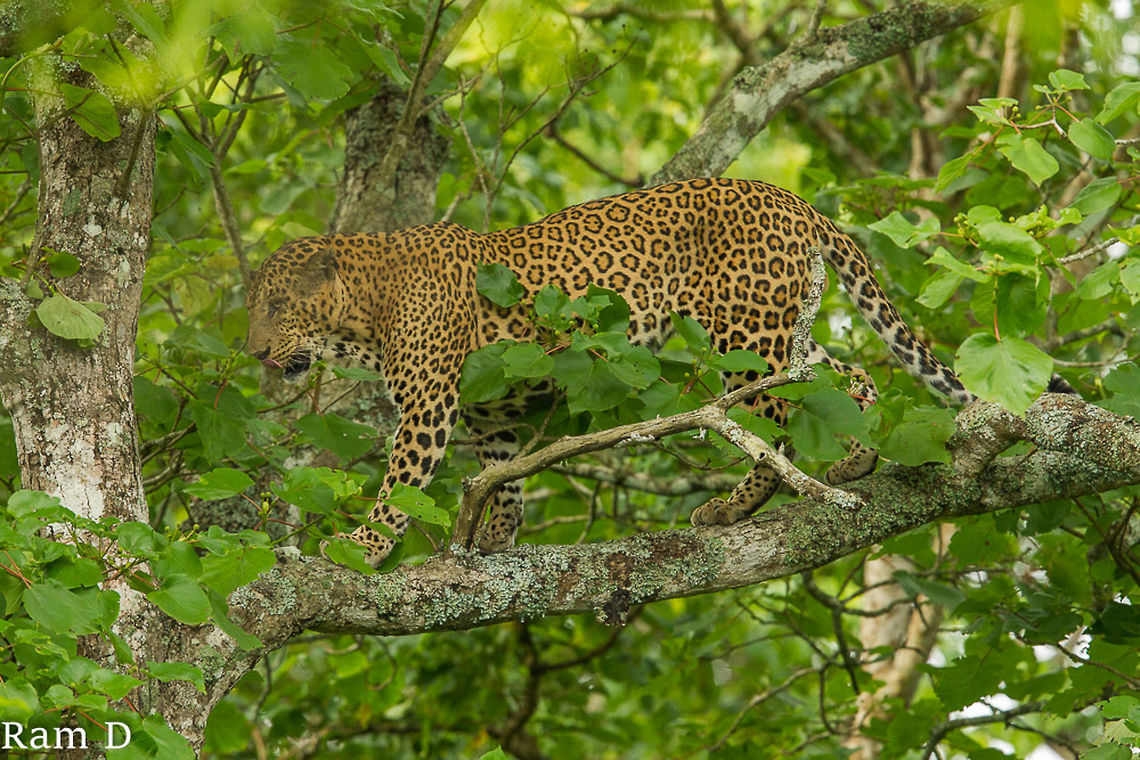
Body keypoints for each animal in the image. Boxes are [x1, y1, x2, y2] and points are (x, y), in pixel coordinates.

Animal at [246, 177, 977, 568]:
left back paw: (735, 505)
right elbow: (502, 476)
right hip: (779, 332)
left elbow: (400, 486)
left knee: (770, 429)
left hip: (744, 335)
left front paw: (361, 546)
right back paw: (858, 459)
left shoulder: (429, 403)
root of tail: (788, 198)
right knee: (844, 377)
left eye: (277, 306)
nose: (252, 352)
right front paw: (494, 539)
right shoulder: (489, 408)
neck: (363, 314)